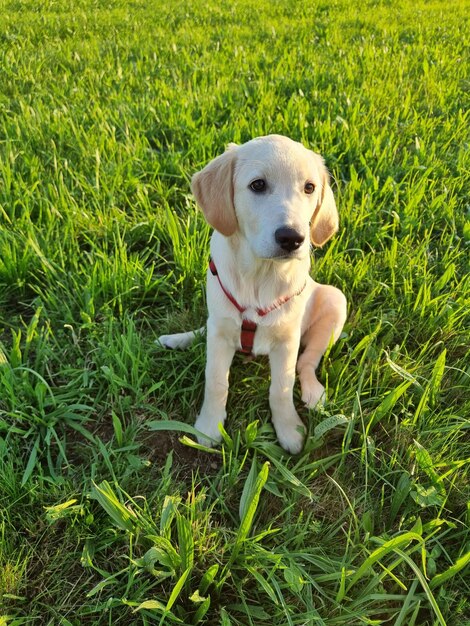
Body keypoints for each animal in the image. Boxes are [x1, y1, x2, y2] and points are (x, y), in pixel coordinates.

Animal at [160, 134, 346, 450]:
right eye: (257, 185)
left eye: (309, 188)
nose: (292, 238)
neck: (261, 274)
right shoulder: (220, 333)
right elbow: (216, 381)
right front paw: (209, 426)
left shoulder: (287, 341)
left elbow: (282, 386)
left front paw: (289, 429)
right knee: (204, 329)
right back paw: (179, 338)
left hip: (335, 301)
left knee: (307, 363)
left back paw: (313, 392)